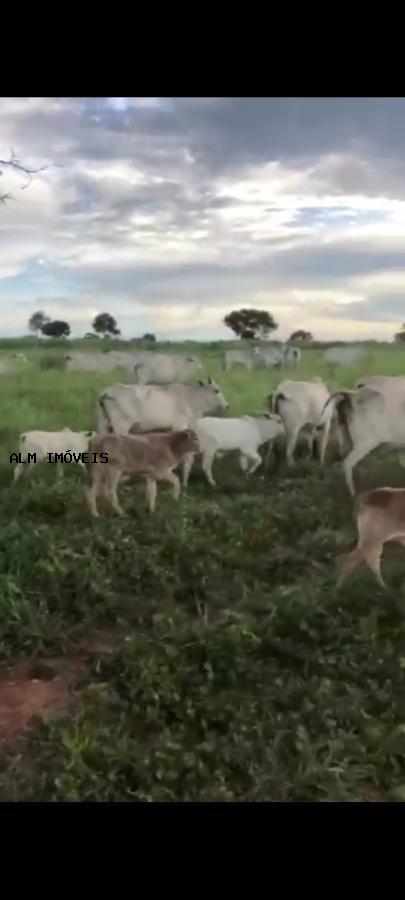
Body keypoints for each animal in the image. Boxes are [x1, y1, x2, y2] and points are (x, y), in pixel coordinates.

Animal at [95, 376, 227, 436]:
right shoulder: (180, 426)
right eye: (216, 390)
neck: (191, 399)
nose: (227, 406)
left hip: (102, 427)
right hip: (121, 428)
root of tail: (107, 391)